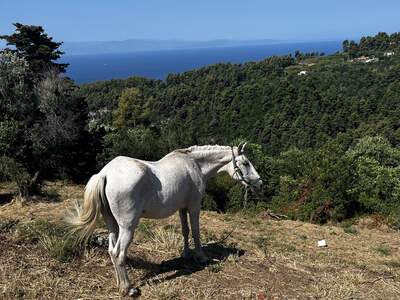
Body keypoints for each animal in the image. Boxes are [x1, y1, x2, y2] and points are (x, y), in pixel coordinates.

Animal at [69, 144, 262, 296]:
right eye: (245, 163)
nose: (259, 183)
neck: (195, 165)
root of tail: (105, 174)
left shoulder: (182, 208)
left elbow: (185, 231)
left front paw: (186, 254)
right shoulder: (193, 207)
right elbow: (196, 231)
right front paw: (201, 257)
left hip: (112, 225)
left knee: (111, 251)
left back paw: (119, 283)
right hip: (127, 227)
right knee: (119, 253)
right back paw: (128, 289)